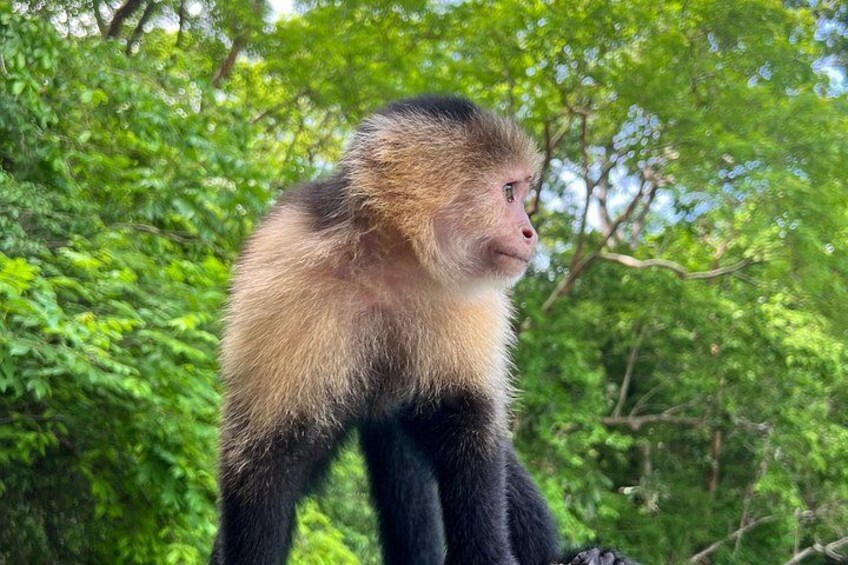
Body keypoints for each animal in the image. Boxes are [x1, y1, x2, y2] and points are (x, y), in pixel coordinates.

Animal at [212, 95, 636, 565]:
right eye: (509, 192)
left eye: (521, 193)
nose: (531, 233)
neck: (388, 261)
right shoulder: (284, 273)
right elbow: (266, 460)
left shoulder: (473, 297)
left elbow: (468, 423)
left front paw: (485, 556)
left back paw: (584, 557)